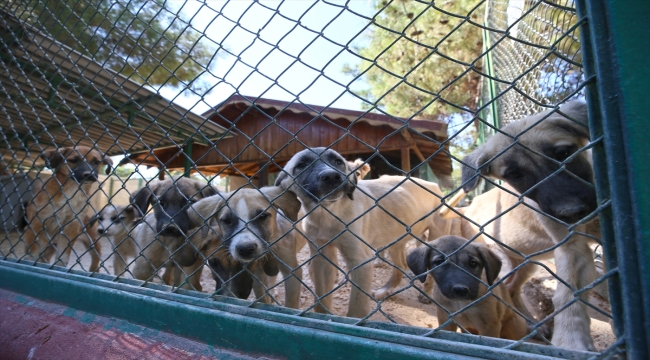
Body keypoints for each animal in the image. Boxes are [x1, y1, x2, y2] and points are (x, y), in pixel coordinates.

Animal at [274, 148, 450, 316]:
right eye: (301, 165)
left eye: (338, 161)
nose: (331, 176)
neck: (328, 213)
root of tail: (433, 185)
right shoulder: (322, 257)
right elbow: (322, 299)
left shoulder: (360, 260)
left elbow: (357, 307)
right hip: (395, 239)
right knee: (401, 265)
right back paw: (384, 291)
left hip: (434, 236)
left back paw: (426, 294)